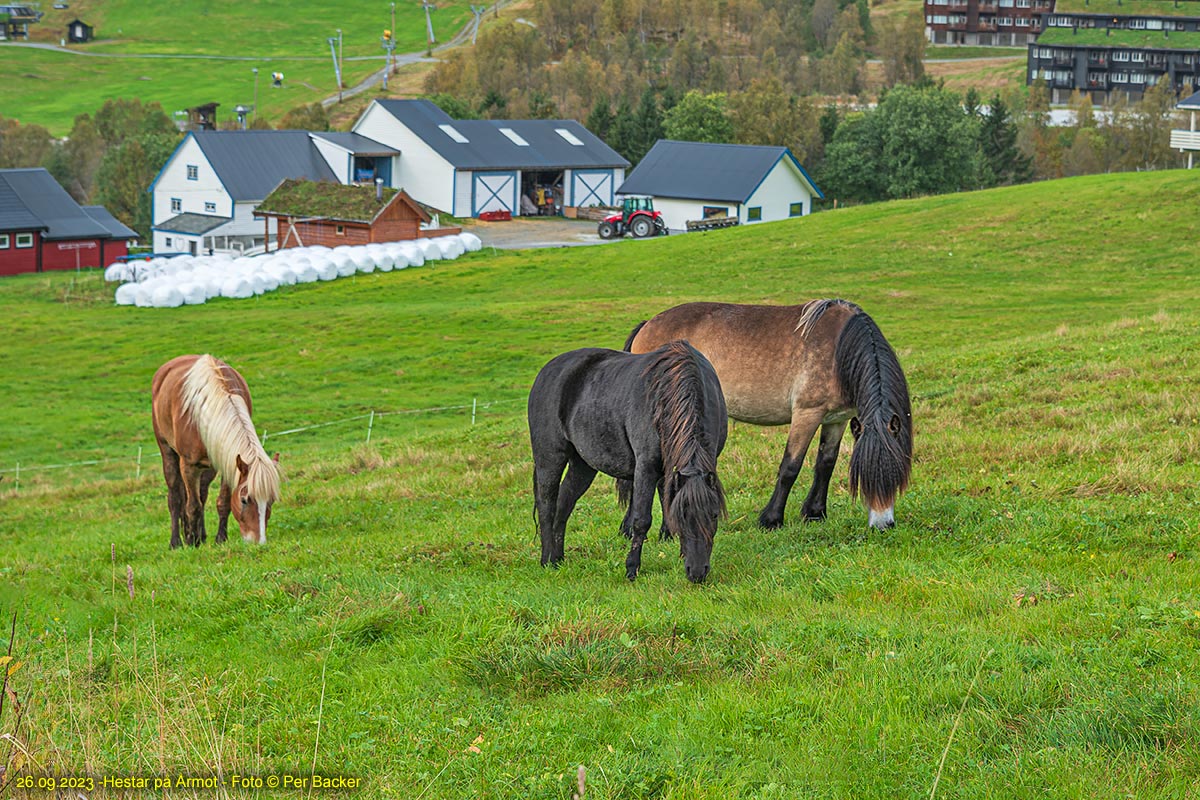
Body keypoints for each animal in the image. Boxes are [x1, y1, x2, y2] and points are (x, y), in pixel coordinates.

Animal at [149, 357, 278, 551]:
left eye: (270, 501)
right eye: (244, 500)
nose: (259, 542)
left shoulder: (228, 463)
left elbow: (222, 502)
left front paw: (220, 539)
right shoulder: (189, 466)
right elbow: (192, 505)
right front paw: (190, 542)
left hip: (209, 466)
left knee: (202, 494)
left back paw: (200, 536)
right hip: (168, 451)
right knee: (176, 497)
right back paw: (177, 542)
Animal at [528, 340, 729, 585]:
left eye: (714, 515)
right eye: (682, 516)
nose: (697, 572)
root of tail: (546, 371)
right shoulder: (646, 468)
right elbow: (641, 520)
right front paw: (632, 568)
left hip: (583, 465)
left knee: (564, 503)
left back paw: (558, 558)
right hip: (549, 459)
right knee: (547, 505)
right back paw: (546, 559)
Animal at [628, 299, 907, 532]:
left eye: (896, 474)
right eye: (866, 479)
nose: (883, 525)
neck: (839, 349)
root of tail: (647, 325)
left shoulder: (837, 420)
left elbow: (825, 464)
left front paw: (815, 513)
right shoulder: (807, 414)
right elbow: (790, 467)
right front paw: (771, 519)